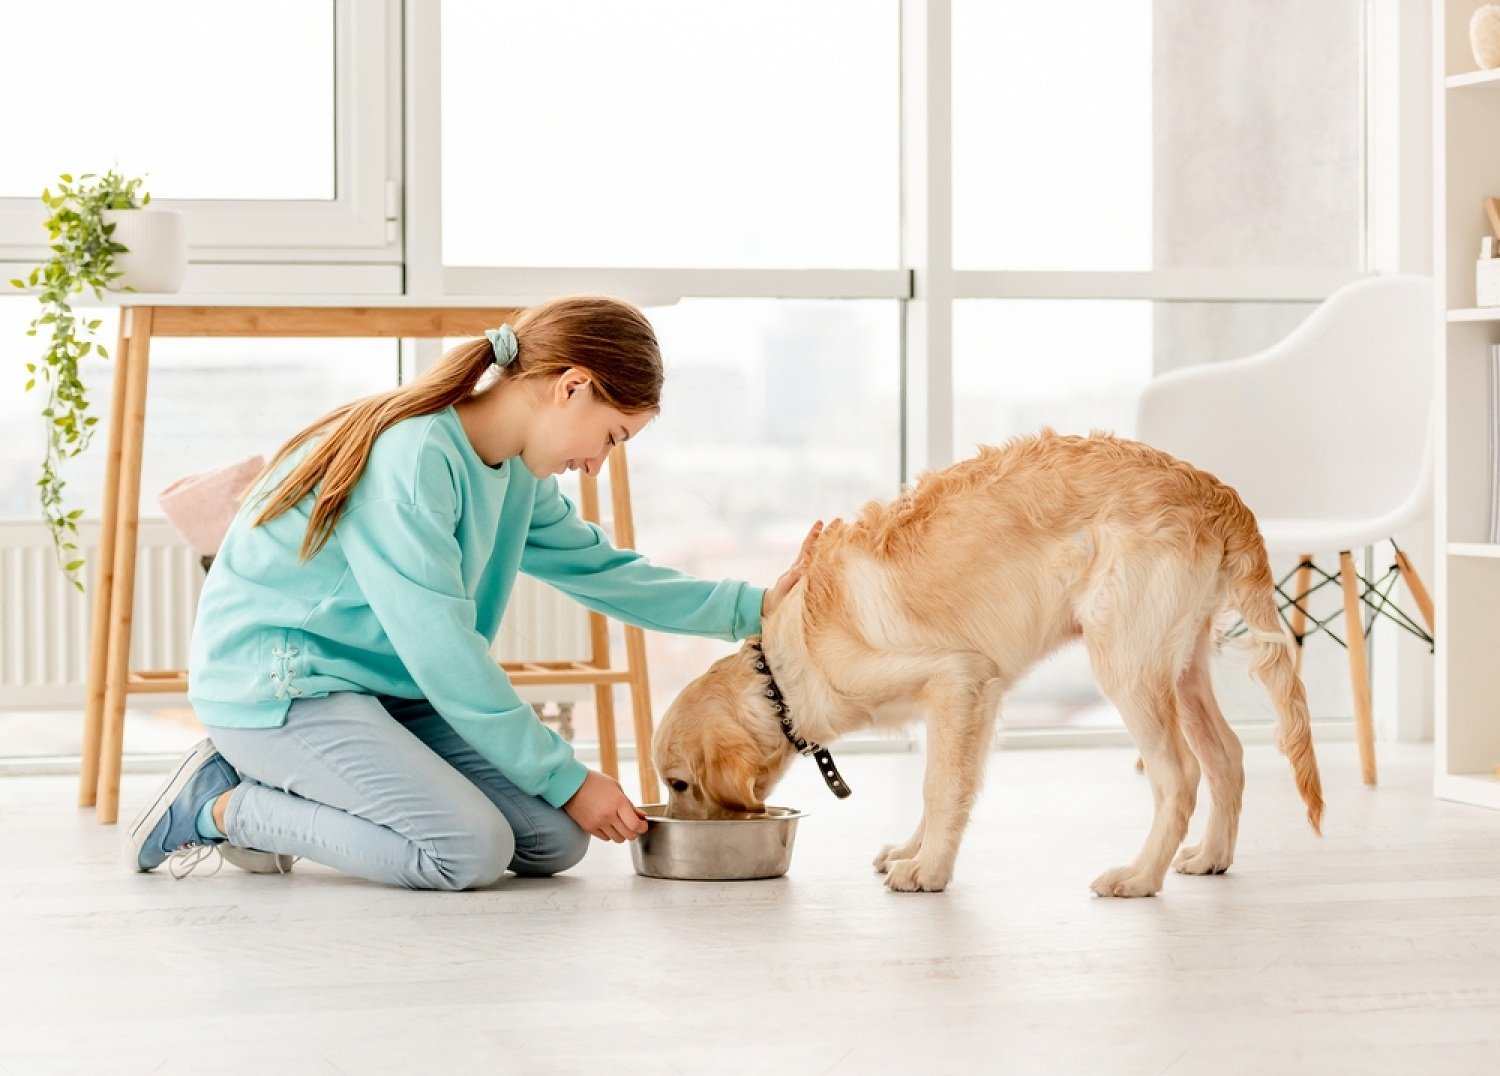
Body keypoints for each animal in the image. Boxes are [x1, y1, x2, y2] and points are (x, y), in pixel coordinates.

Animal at [657, 432, 1326, 894]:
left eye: (679, 783)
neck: (782, 673)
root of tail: (1214, 491)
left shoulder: (956, 678)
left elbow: (939, 785)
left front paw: (927, 870)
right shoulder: (977, 697)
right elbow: (952, 785)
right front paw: (914, 851)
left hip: (1126, 663)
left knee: (1180, 775)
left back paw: (1138, 877)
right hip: (1178, 662)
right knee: (1227, 755)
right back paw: (1211, 856)